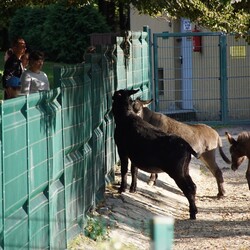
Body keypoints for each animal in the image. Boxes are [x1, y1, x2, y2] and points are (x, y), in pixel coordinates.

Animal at [112, 89, 200, 220]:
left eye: (116, 95)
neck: (125, 117)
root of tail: (187, 146)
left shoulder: (122, 150)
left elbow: (124, 170)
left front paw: (122, 189)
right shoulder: (134, 155)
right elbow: (134, 170)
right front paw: (133, 189)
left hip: (177, 171)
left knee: (188, 188)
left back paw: (192, 214)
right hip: (185, 169)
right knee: (193, 186)